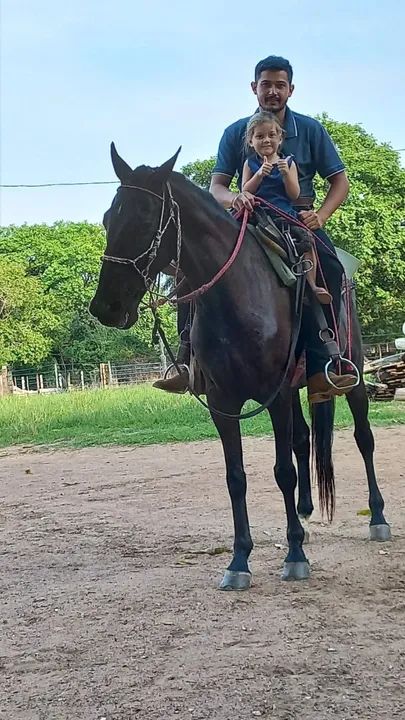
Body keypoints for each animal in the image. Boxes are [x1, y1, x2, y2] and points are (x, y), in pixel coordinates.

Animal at [89, 144, 391, 590]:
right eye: (109, 218)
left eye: (144, 218)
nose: (106, 307)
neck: (238, 297)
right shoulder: (223, 402)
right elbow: (236, 477)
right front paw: (239, 560)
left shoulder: (276, 397)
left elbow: (283, 471)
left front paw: (294, 555)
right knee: (304, 438)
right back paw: (305, 511)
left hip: (348, 378)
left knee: (363, 438)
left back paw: (377, 517)